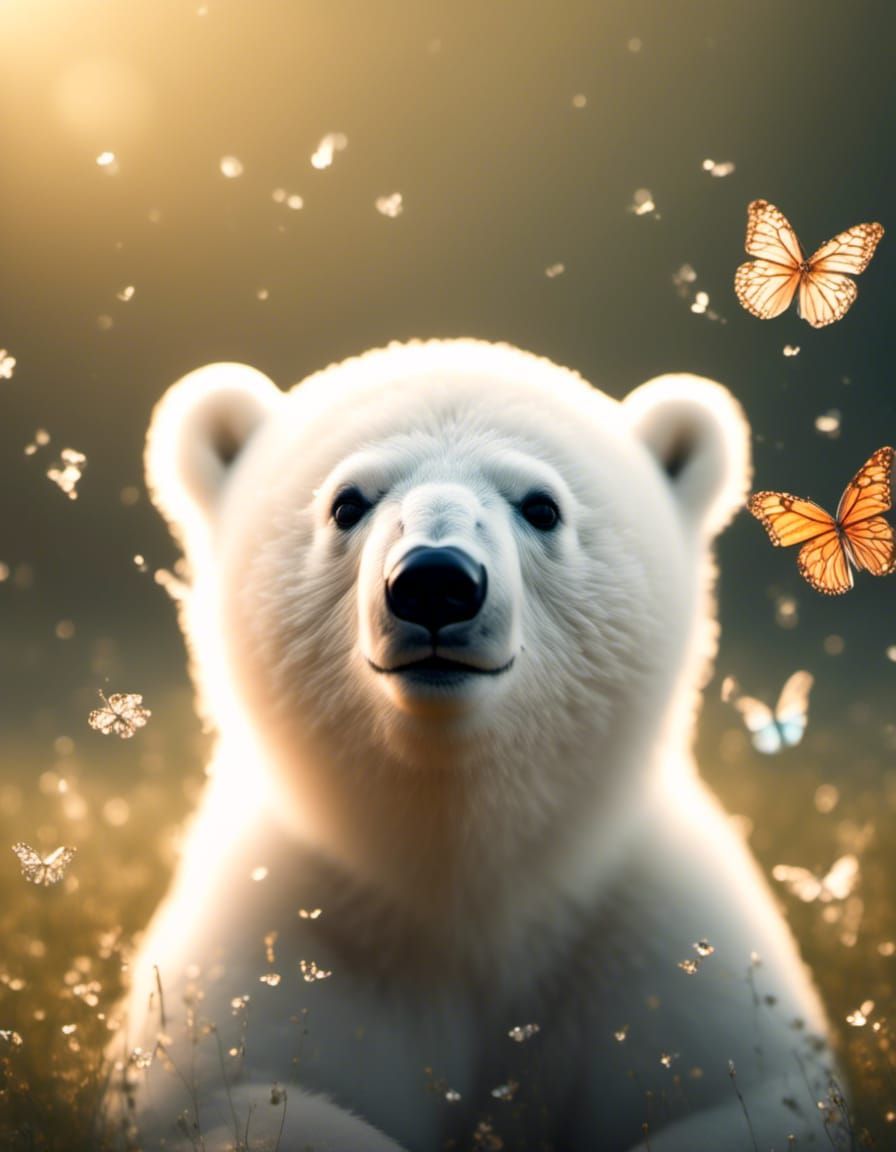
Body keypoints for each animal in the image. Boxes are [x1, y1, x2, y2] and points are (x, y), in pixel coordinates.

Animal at [110, 340, 842, 1151]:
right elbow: (232, 1097)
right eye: (346, 503)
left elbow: (752, 1098)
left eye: (542, 506)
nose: (435, 582)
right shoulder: (284, 941)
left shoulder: (655, 949)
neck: (464, 874)